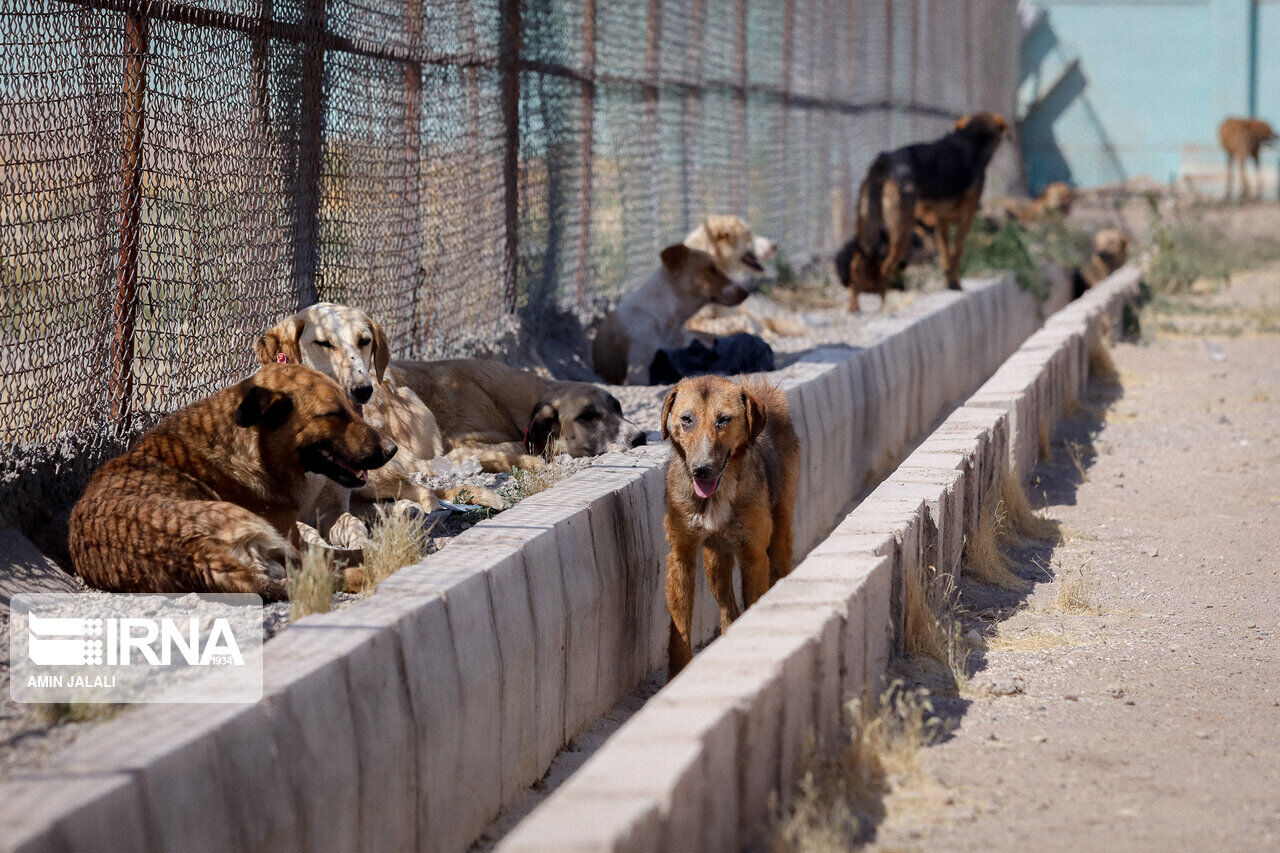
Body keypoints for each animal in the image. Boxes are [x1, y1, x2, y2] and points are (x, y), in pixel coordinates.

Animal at [70, 363, 396, 596]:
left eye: (350, 407)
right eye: (333, 414)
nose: (392, 450)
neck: (253, 448)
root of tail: (195, 554)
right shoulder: (293, 537)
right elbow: (345, 555)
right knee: (327, 570)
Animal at [660, 376, 798, 676]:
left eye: (723, 419)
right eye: (686, 419)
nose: (701, 470)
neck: (717, 496)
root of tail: (757, 387)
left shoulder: (753, 555)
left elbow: (755, 602)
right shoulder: (681, 556)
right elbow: (679, 630)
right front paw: (678, 674)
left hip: (780, 532)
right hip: (715, 561)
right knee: (726, 609)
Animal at [839, 111, 1008, 311]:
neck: (969, 139)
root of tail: (884, 161)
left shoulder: (941, 220)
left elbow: (946, 256)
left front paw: (951, 285)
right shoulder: (967, 215)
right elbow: (956, 253)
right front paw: (957, 286)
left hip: (868, 227)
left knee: (855, 267)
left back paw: (855, 308)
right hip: (901, 229)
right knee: (885, 269)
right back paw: (886, 307)